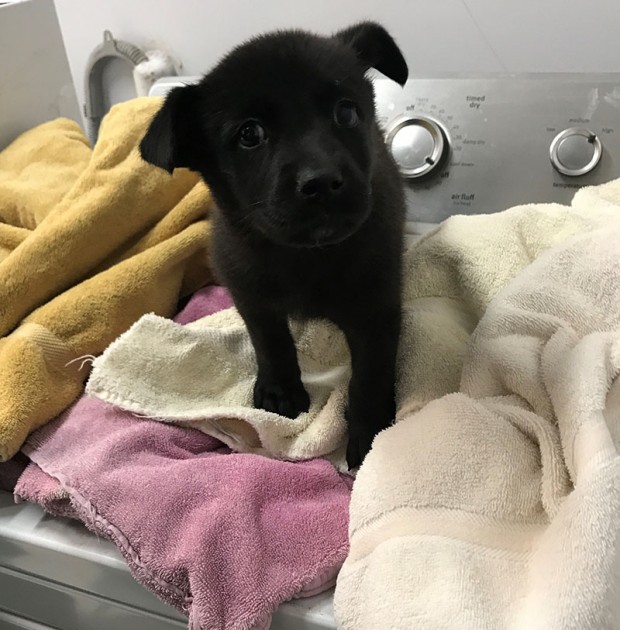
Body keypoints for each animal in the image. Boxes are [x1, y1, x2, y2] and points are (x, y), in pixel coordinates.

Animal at [142, 23, 412, 470]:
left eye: (346, 112)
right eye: (249, 134)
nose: (322, 182)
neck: (306, 258)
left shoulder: (376, 307)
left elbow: (370, 374)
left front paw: (370, 432)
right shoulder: (249, 291)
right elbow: (270, 341)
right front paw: (280, 391)